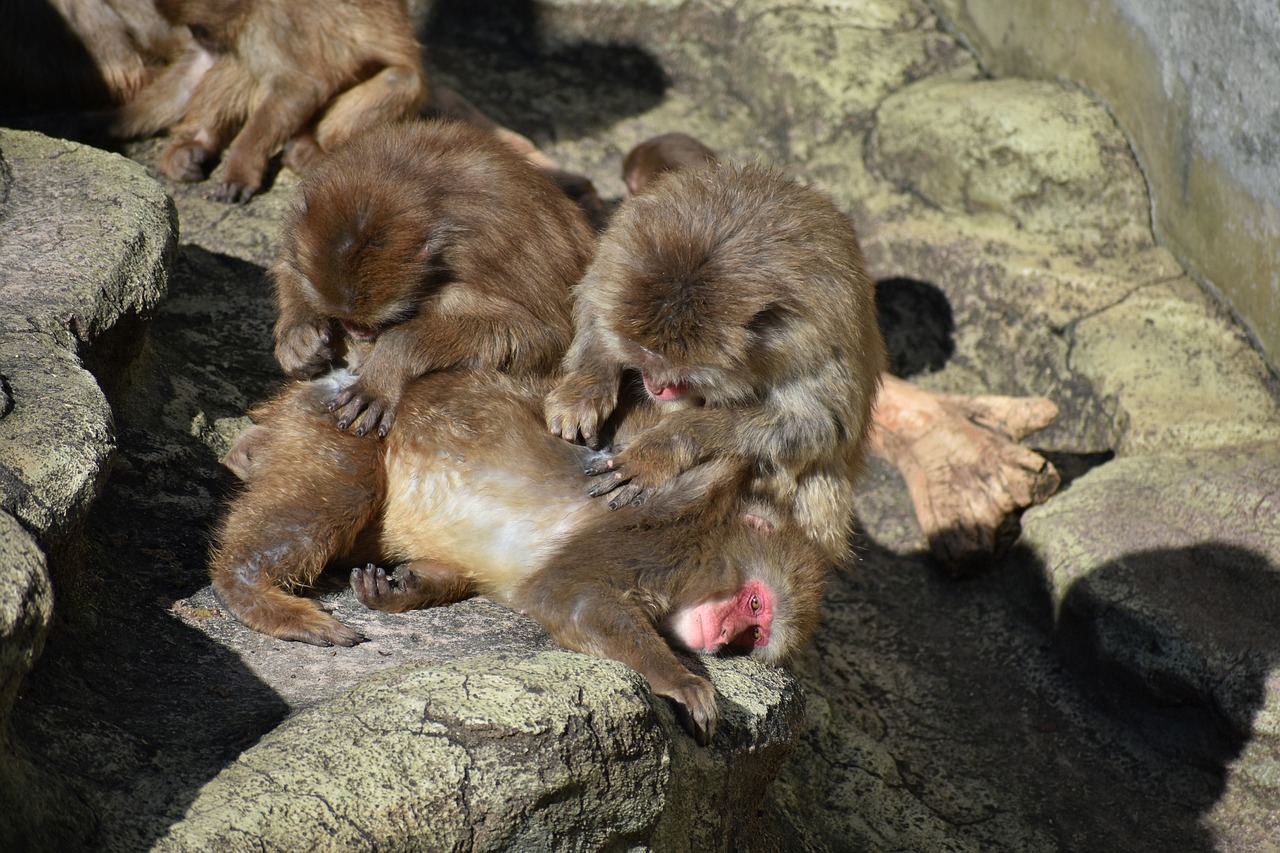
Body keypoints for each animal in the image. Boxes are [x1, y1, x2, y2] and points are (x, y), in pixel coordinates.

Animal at [213, 368, 824, 742]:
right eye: (754, 605)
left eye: (752, 635)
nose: (723, 638)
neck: (707, 537)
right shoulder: (653, 540)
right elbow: (570, 595)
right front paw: (683, 681)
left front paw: (401, 589)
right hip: (343, 424)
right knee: (342, 492)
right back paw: (254, 592)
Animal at [271, 118, 599, 435]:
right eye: (348, 320)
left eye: (370, 324)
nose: (355, 331)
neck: (401, 178)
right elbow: (288, 262)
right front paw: (299, 333)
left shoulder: (482, 254)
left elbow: (537, 337)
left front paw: (387, 362)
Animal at [542, 162, 890, 568]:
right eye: (641, 352)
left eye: (680, 371)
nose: (656, 385)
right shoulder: (619, 250)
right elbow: (592, 300)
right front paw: (586, 388)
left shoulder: (813, 336)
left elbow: (818, 426)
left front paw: (664, 446)